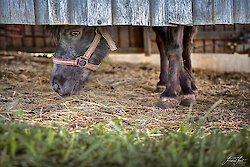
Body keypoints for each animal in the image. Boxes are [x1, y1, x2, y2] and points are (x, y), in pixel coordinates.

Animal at [48, 25, 197, 108]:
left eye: (75, 32)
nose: (56, 85)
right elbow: (168, 45)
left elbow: (175, 47)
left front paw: (175, 93)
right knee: (162, 43)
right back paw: (163, 83)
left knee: (187, 43)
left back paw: (192, 87)